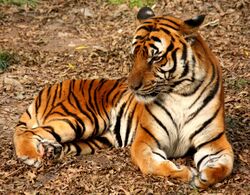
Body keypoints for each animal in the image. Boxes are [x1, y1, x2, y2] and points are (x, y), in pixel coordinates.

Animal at [13, 6, 233, 188]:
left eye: (155, 57)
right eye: (134, 55)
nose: (133, 87)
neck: (181, 92)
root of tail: (49, 88)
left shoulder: (214, 143)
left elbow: (225, 166)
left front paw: (204, 177)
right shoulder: (145, 140)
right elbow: (152, 164)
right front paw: (185, 173)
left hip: (96, 139)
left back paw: (51, 150)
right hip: (81, 119)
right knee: (28, 132)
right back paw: (30, 155)